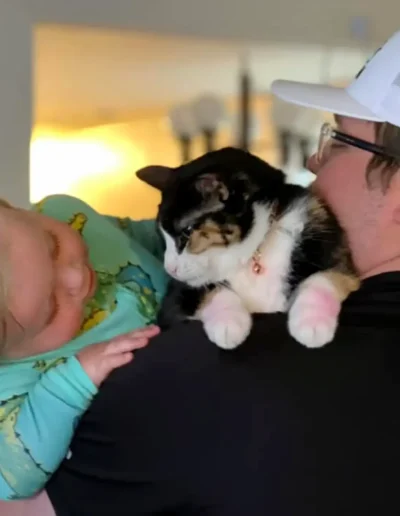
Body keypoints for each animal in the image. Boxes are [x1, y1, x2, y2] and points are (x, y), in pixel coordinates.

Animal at [141, 146, 360, 346]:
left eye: (186, 231)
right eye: (161, 235)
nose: (170, 269)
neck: (250, 255)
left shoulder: (330, 243)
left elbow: (324, 278)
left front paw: (312, 324)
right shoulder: (173, 302)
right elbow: (210, 291)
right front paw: (228, 324)